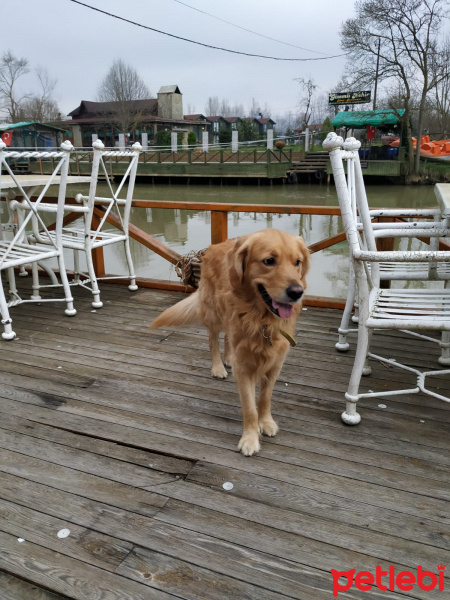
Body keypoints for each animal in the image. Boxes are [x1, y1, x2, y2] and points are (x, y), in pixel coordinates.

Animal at [150, 230, 310, 454]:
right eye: (269, 261)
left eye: (297, 262)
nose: (297, 292)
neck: (261, 320)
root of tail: (213, 247)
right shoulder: (244, 367)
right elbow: (249, 407)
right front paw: (250, 438)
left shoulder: (275, 363)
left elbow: (265, 398)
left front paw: (266, 422)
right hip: (214, 313)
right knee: (213, 340)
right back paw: (218, 366)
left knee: (227, 337)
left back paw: (228, 358)